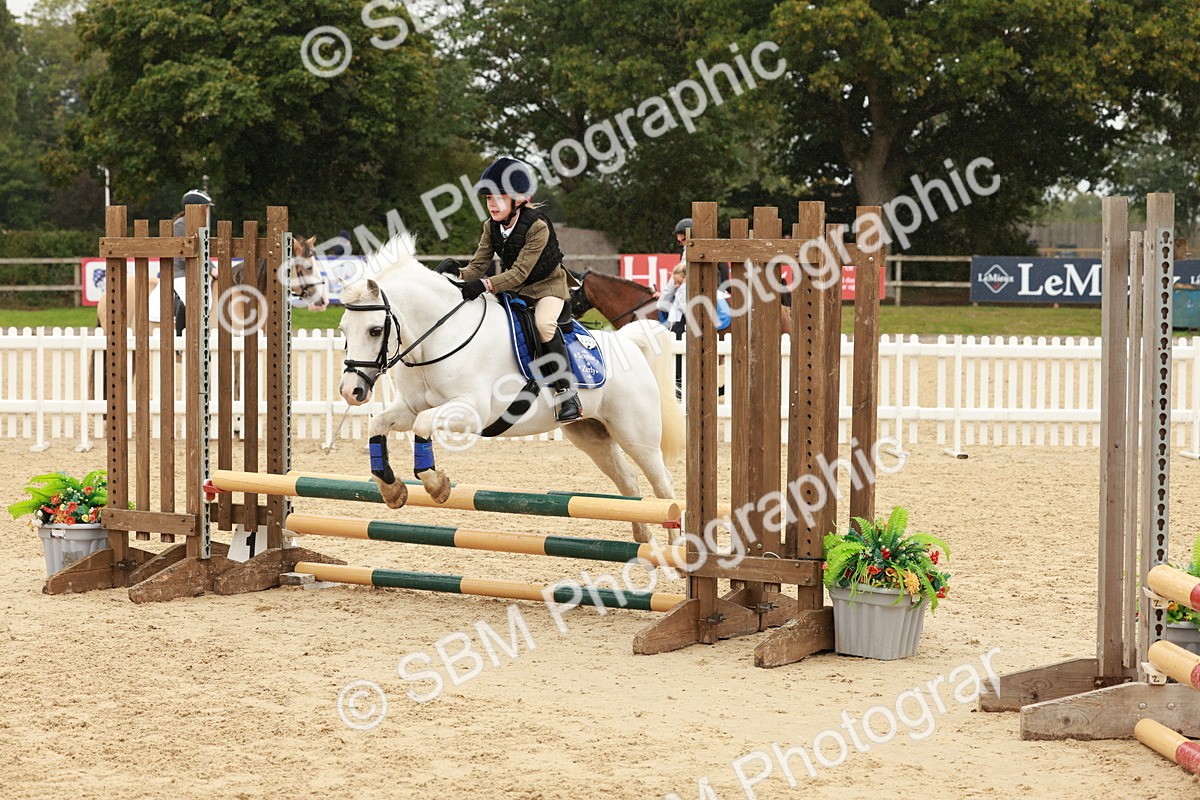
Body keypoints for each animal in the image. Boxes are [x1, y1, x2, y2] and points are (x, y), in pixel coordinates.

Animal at [337, 234, 685, 544]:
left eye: (375, 330)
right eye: (343, 329)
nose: (351, 390)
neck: (439, 337)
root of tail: (628, 341)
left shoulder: (471, 412)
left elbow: (423, 427)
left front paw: (437, 485)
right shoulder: (409, 407)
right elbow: (378, 425)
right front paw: (392, 489)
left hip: (636, 435)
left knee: (663, 486)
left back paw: (676, 550)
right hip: (591, 433)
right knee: (628, 481)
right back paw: (643, 537)